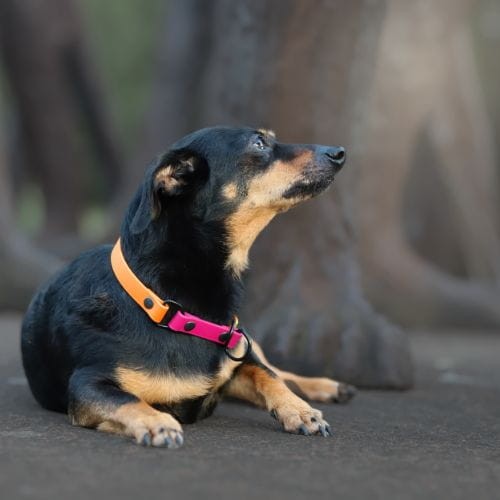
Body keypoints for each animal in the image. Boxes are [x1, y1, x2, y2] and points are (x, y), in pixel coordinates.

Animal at [21, 126, 354, 448]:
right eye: (258, 143)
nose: (339, 152)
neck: (164, 304)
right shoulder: (88, 384)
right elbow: (126, 399)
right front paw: (157, 423)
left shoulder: (238, 357)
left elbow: (267, 375)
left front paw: (299, 409)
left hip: (245, 339)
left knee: (278, 370)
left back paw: (325, 386)